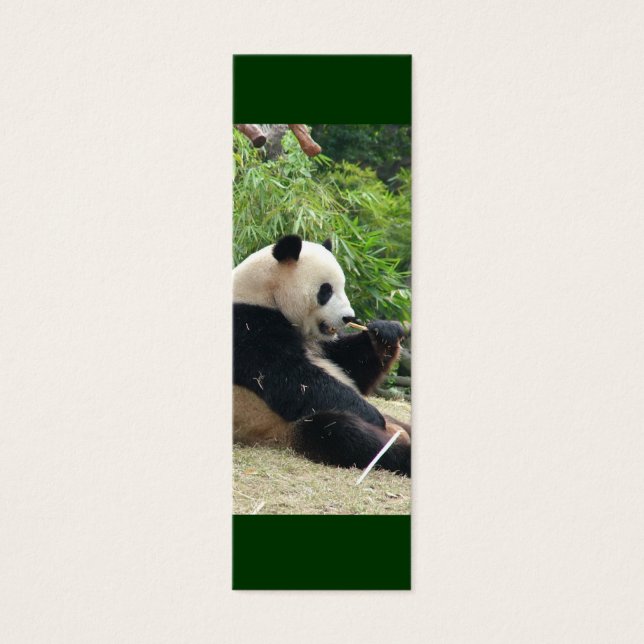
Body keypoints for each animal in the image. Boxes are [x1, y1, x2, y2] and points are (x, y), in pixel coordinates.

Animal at [233, 234, 411, 477]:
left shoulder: (322, 344)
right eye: (326, 290)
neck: (265, 293)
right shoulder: (249, 330)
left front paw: (385, 333)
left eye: (342, 286)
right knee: (343, 432)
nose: (348, 317)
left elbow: (352, 367)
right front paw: (372, 415)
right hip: (279, 427)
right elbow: (295, 381)